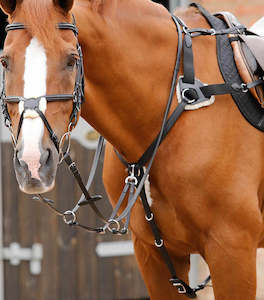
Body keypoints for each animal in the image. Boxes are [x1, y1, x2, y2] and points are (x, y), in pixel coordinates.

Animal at [0, 0, 264, 298]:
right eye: (5, 61)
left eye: (71, 60)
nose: (32, 164)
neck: (181, 97)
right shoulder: (154, 255)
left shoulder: (232, 251)